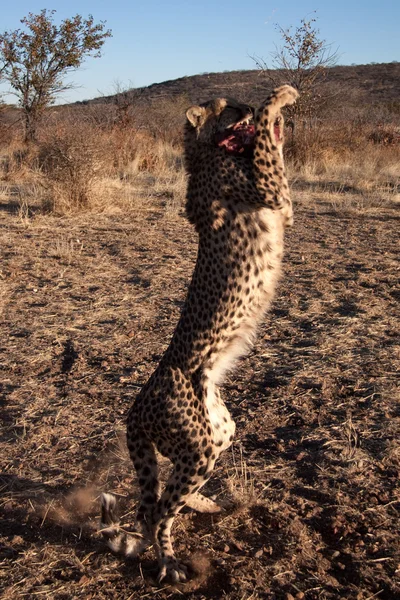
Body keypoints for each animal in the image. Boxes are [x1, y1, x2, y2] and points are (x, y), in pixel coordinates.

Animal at [101, 83, 298, 580]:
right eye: (225, 108)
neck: (211, 150)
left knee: (161, 500)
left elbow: (272, 146)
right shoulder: (273, 193)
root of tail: (135, 407)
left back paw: (206, 505)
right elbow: (268, 144)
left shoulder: (283, 205)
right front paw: (279, 99)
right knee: (154, 512)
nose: (244, 105)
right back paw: (169, 562)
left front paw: (275, 109)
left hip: (218, 432)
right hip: (197, 447)